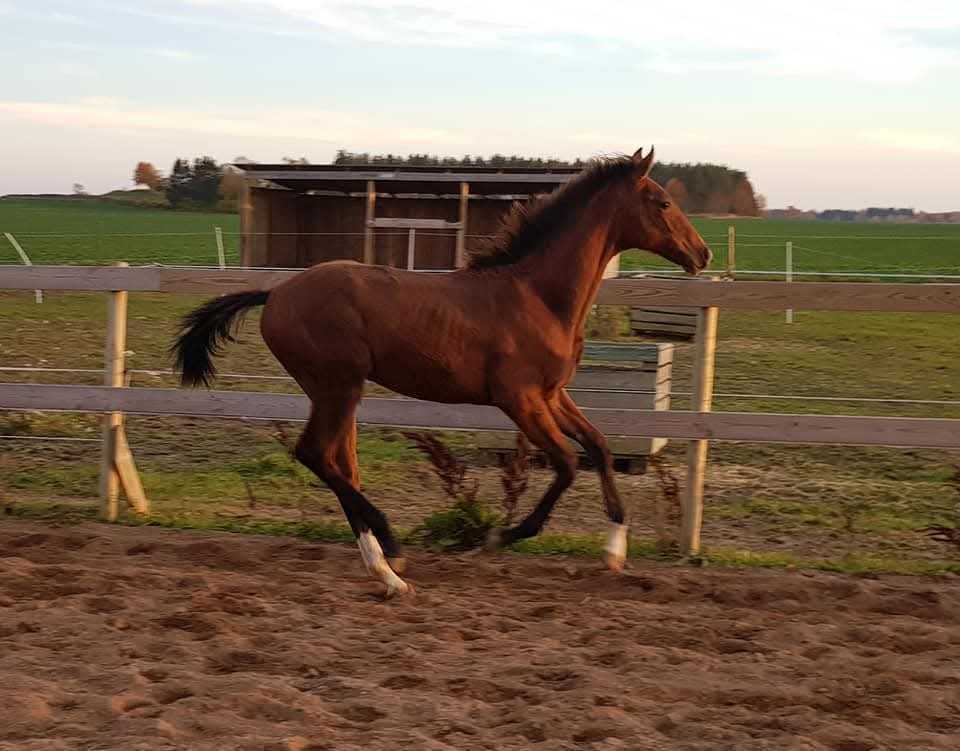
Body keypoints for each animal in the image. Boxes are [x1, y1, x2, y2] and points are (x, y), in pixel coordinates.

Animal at [173, 147, 711, 596]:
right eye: (663, 202)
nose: (702, 253)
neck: (538, 296)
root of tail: (276, 293)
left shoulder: (552, 394)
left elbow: (598, 446)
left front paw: (615, 549)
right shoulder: (518, 398)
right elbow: (565, 462)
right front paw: (497, 536)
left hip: (338, 391)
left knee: (339, 463)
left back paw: (385, 568)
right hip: (337, 386)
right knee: (316, 455)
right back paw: (392, 551)